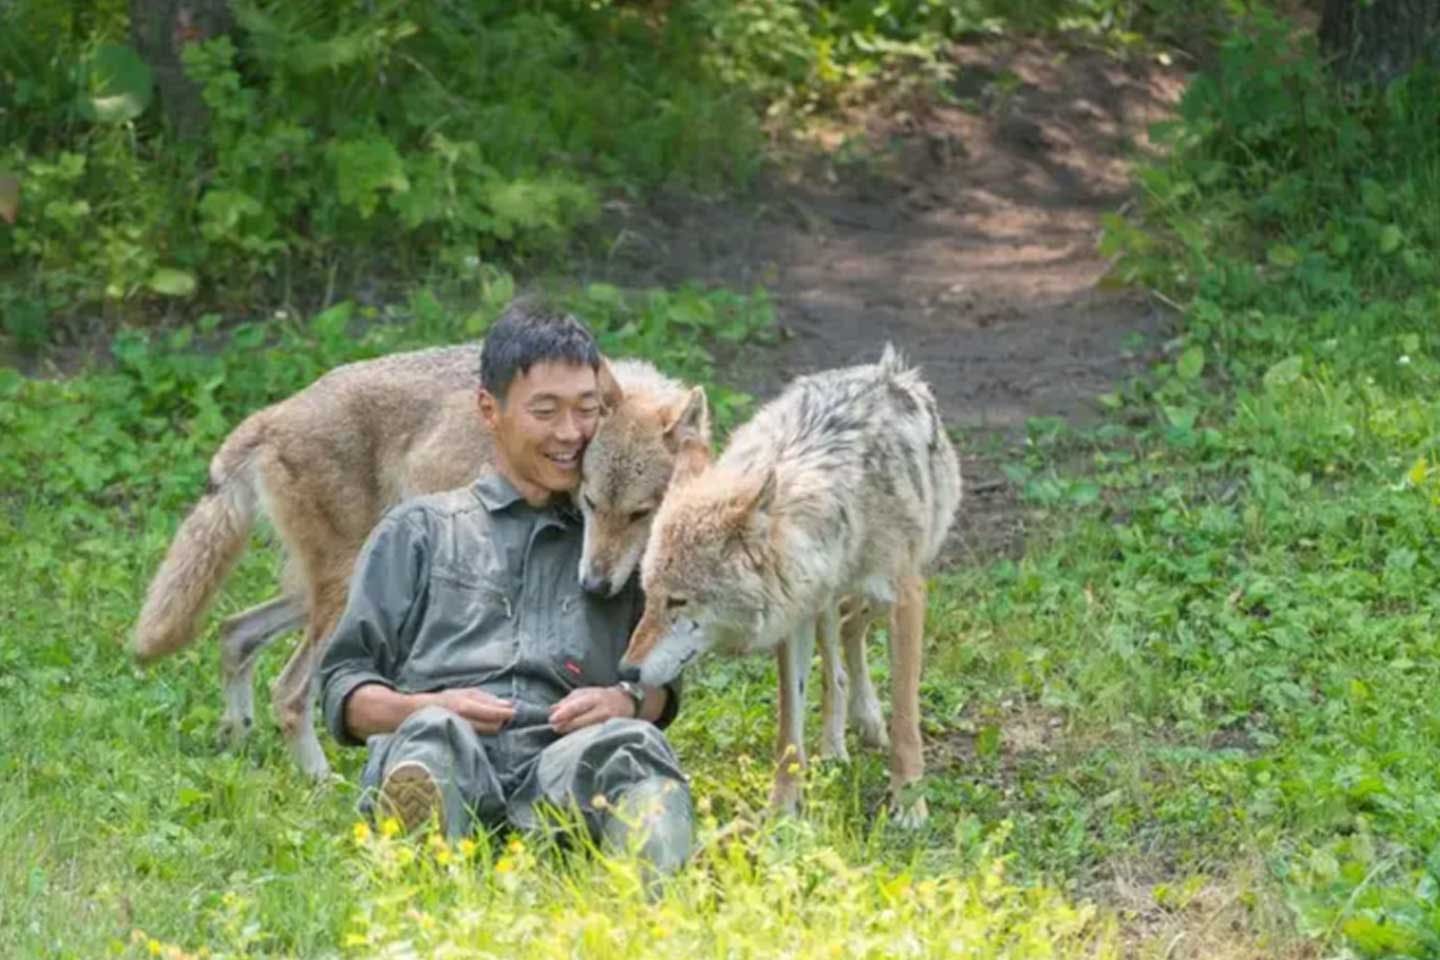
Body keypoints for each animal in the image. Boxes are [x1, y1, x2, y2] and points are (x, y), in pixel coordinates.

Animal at [616, 345, 956, 829]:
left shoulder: (906, 598)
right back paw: (838, 743)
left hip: (883, 593)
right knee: (839, 650)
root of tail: (888, 370)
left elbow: (907, 717)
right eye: (649, 597)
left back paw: (869, 722)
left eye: (678, 601)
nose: (625, 670)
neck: (839, 516)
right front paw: (781, 812)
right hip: (825, 606)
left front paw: (909, 803)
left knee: (852, 629)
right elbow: (788, 730)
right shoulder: (794, 615)